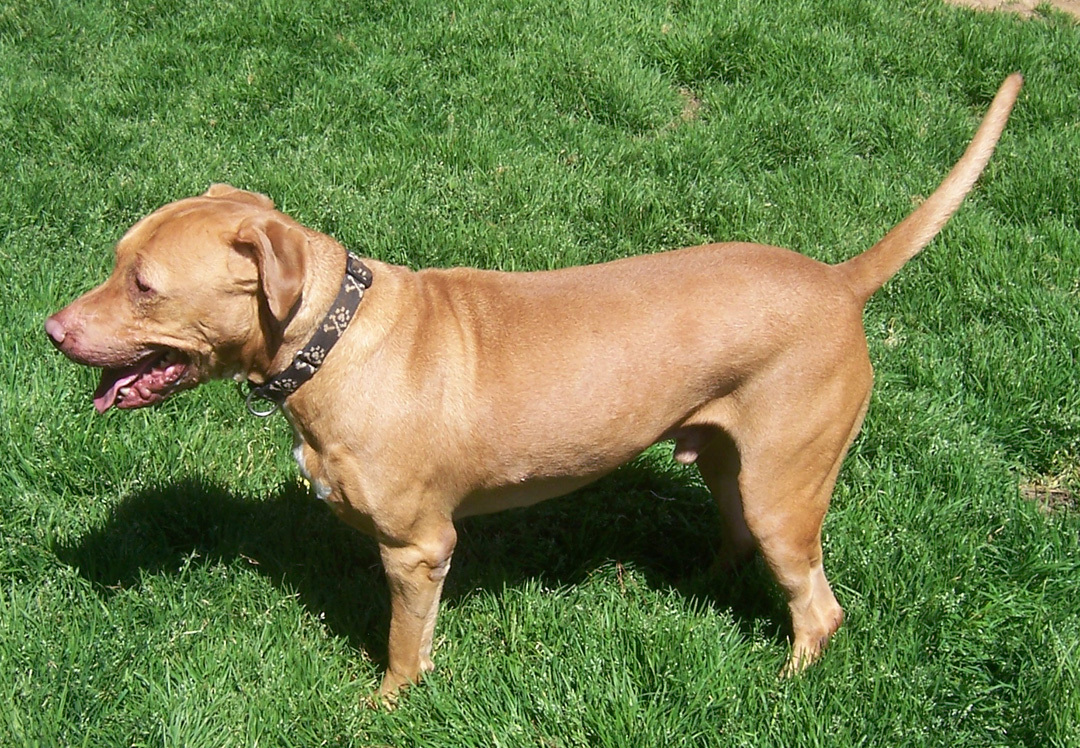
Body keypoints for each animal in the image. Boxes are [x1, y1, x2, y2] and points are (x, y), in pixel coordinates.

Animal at [42, 74, 1019, 695]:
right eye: (117, 261)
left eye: (143, 285)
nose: (48, 330)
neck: (330, 336)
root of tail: (840, 282)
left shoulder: (418, 549)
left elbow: (403, 648)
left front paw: (388, 704)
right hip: (728, 462)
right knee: (738, 537)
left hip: (789, 486)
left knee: (819, 608)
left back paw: (783, 687)